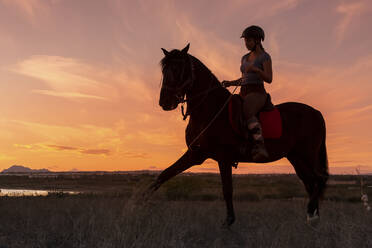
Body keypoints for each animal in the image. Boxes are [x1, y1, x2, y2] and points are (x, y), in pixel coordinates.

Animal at [146, 43, 328, 227]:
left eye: (177, 69)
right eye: (164, 70)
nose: (164, 102)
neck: (209, 110)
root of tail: (316, 112)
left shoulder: (223, 157)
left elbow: (227, 189)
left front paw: (229, 221)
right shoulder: (195, 155)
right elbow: (163, 176)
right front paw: (141, 204)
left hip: (307, 154)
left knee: (319, 179)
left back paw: (312, 216)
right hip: (296, 157)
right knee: (310, 182)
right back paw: (313, 217)